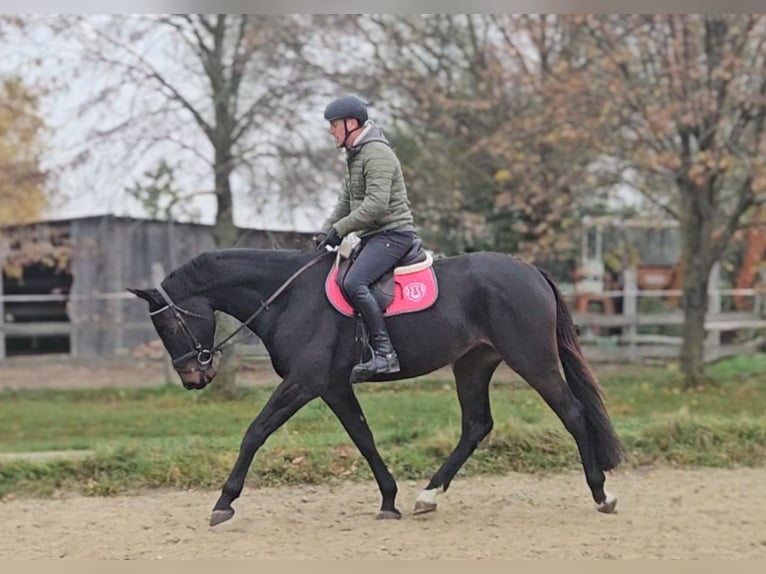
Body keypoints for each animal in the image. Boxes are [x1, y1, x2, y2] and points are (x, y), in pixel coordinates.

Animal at [130, 246, 624, 528]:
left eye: (169, 324)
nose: (193, 378)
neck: (288, 297)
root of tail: (532, 272)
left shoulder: (304, 382)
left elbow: (255, 432)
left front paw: (224, 502)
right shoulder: (332, 387)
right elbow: (363, 437)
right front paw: (389, 499)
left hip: (532, 360)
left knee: (573, 413)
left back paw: (602, 494)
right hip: (473, 364)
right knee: (476, 426)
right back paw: (428, 496)